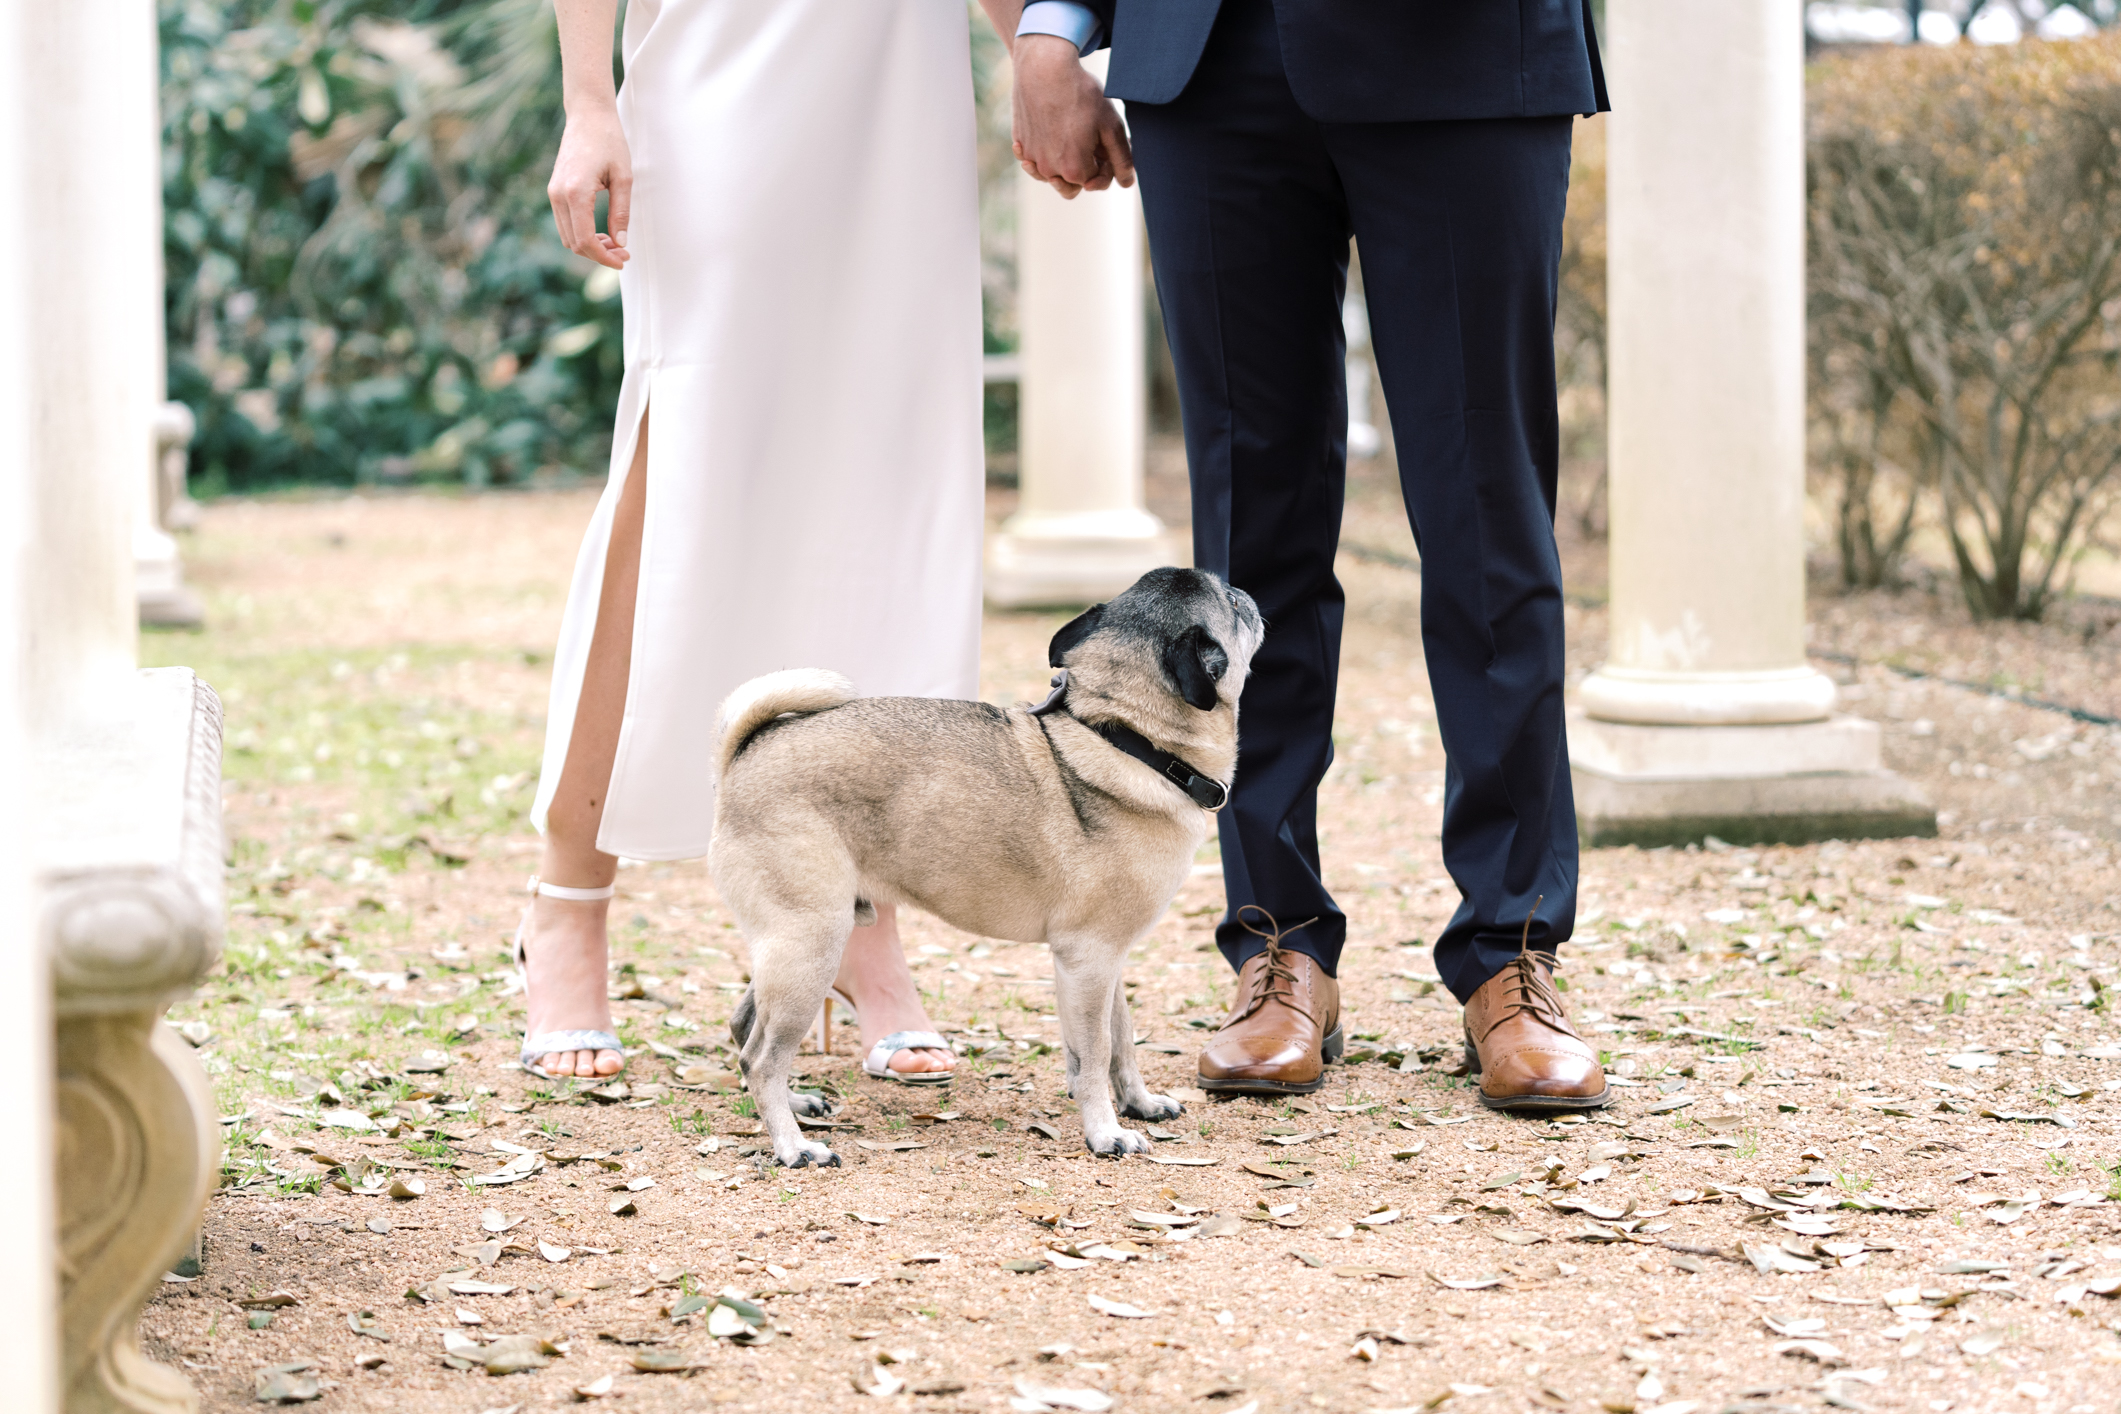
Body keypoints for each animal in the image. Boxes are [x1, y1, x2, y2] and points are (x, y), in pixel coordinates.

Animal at [721, 568, 1264, 1170]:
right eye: (1233, 605)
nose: (1247, 592)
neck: (1126, 737)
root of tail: (748, 751)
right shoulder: (1089, 960)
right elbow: (1096, 1054)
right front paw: (1106, 1132)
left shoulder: (1107, 964)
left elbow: (1120, 1041)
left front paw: (1138, 1104)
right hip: (811, 945)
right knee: (762, 1058)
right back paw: (793, 1145)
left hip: (795, 949)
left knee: (746, 1030)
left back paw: (795, 1105)